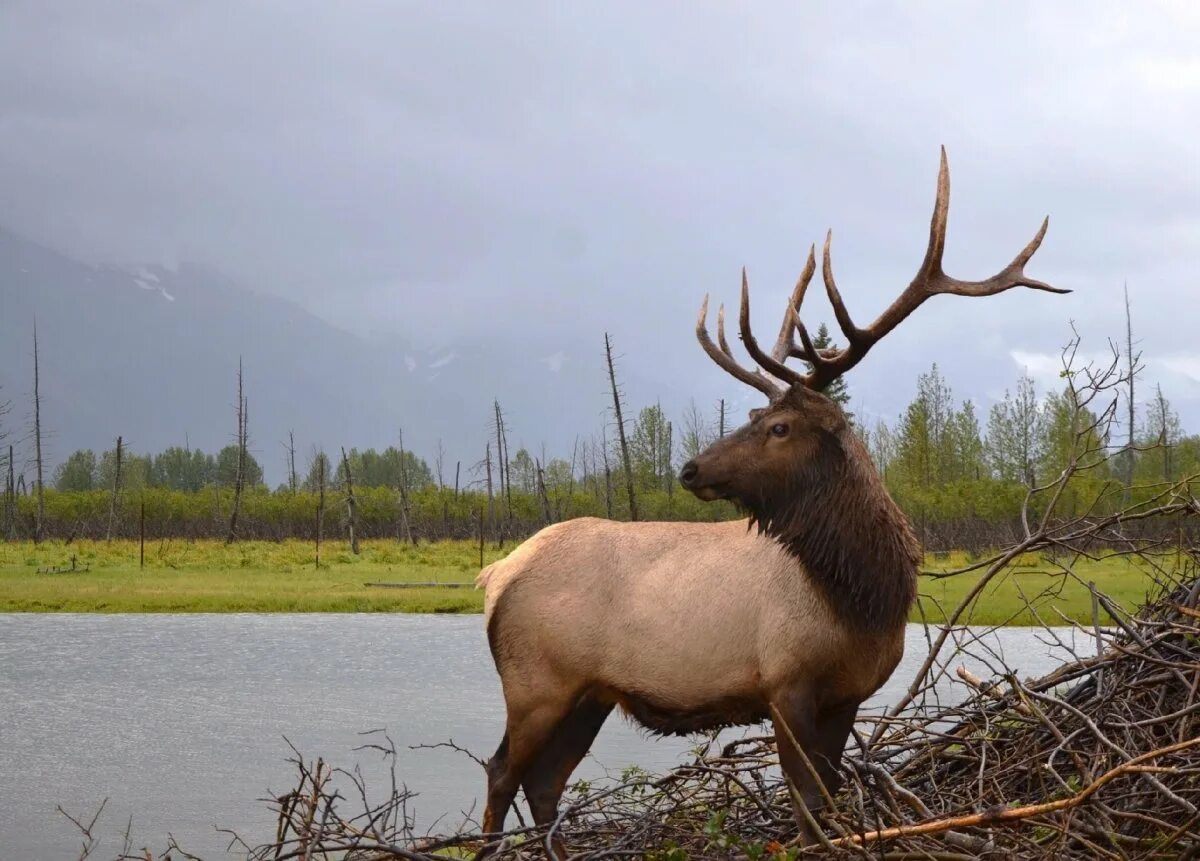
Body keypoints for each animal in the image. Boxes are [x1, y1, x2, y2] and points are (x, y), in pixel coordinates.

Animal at [472, 149, 1065, 849]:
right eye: (756, 415)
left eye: (777, 425)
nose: (690, 468)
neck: (863, 601)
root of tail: (497, 575)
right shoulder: (785, 684)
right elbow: (805, 807)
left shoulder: (848, 695)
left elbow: (827, 801)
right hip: (537, 681)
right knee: (501, 771)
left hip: (588, 693)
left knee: (545, 783)